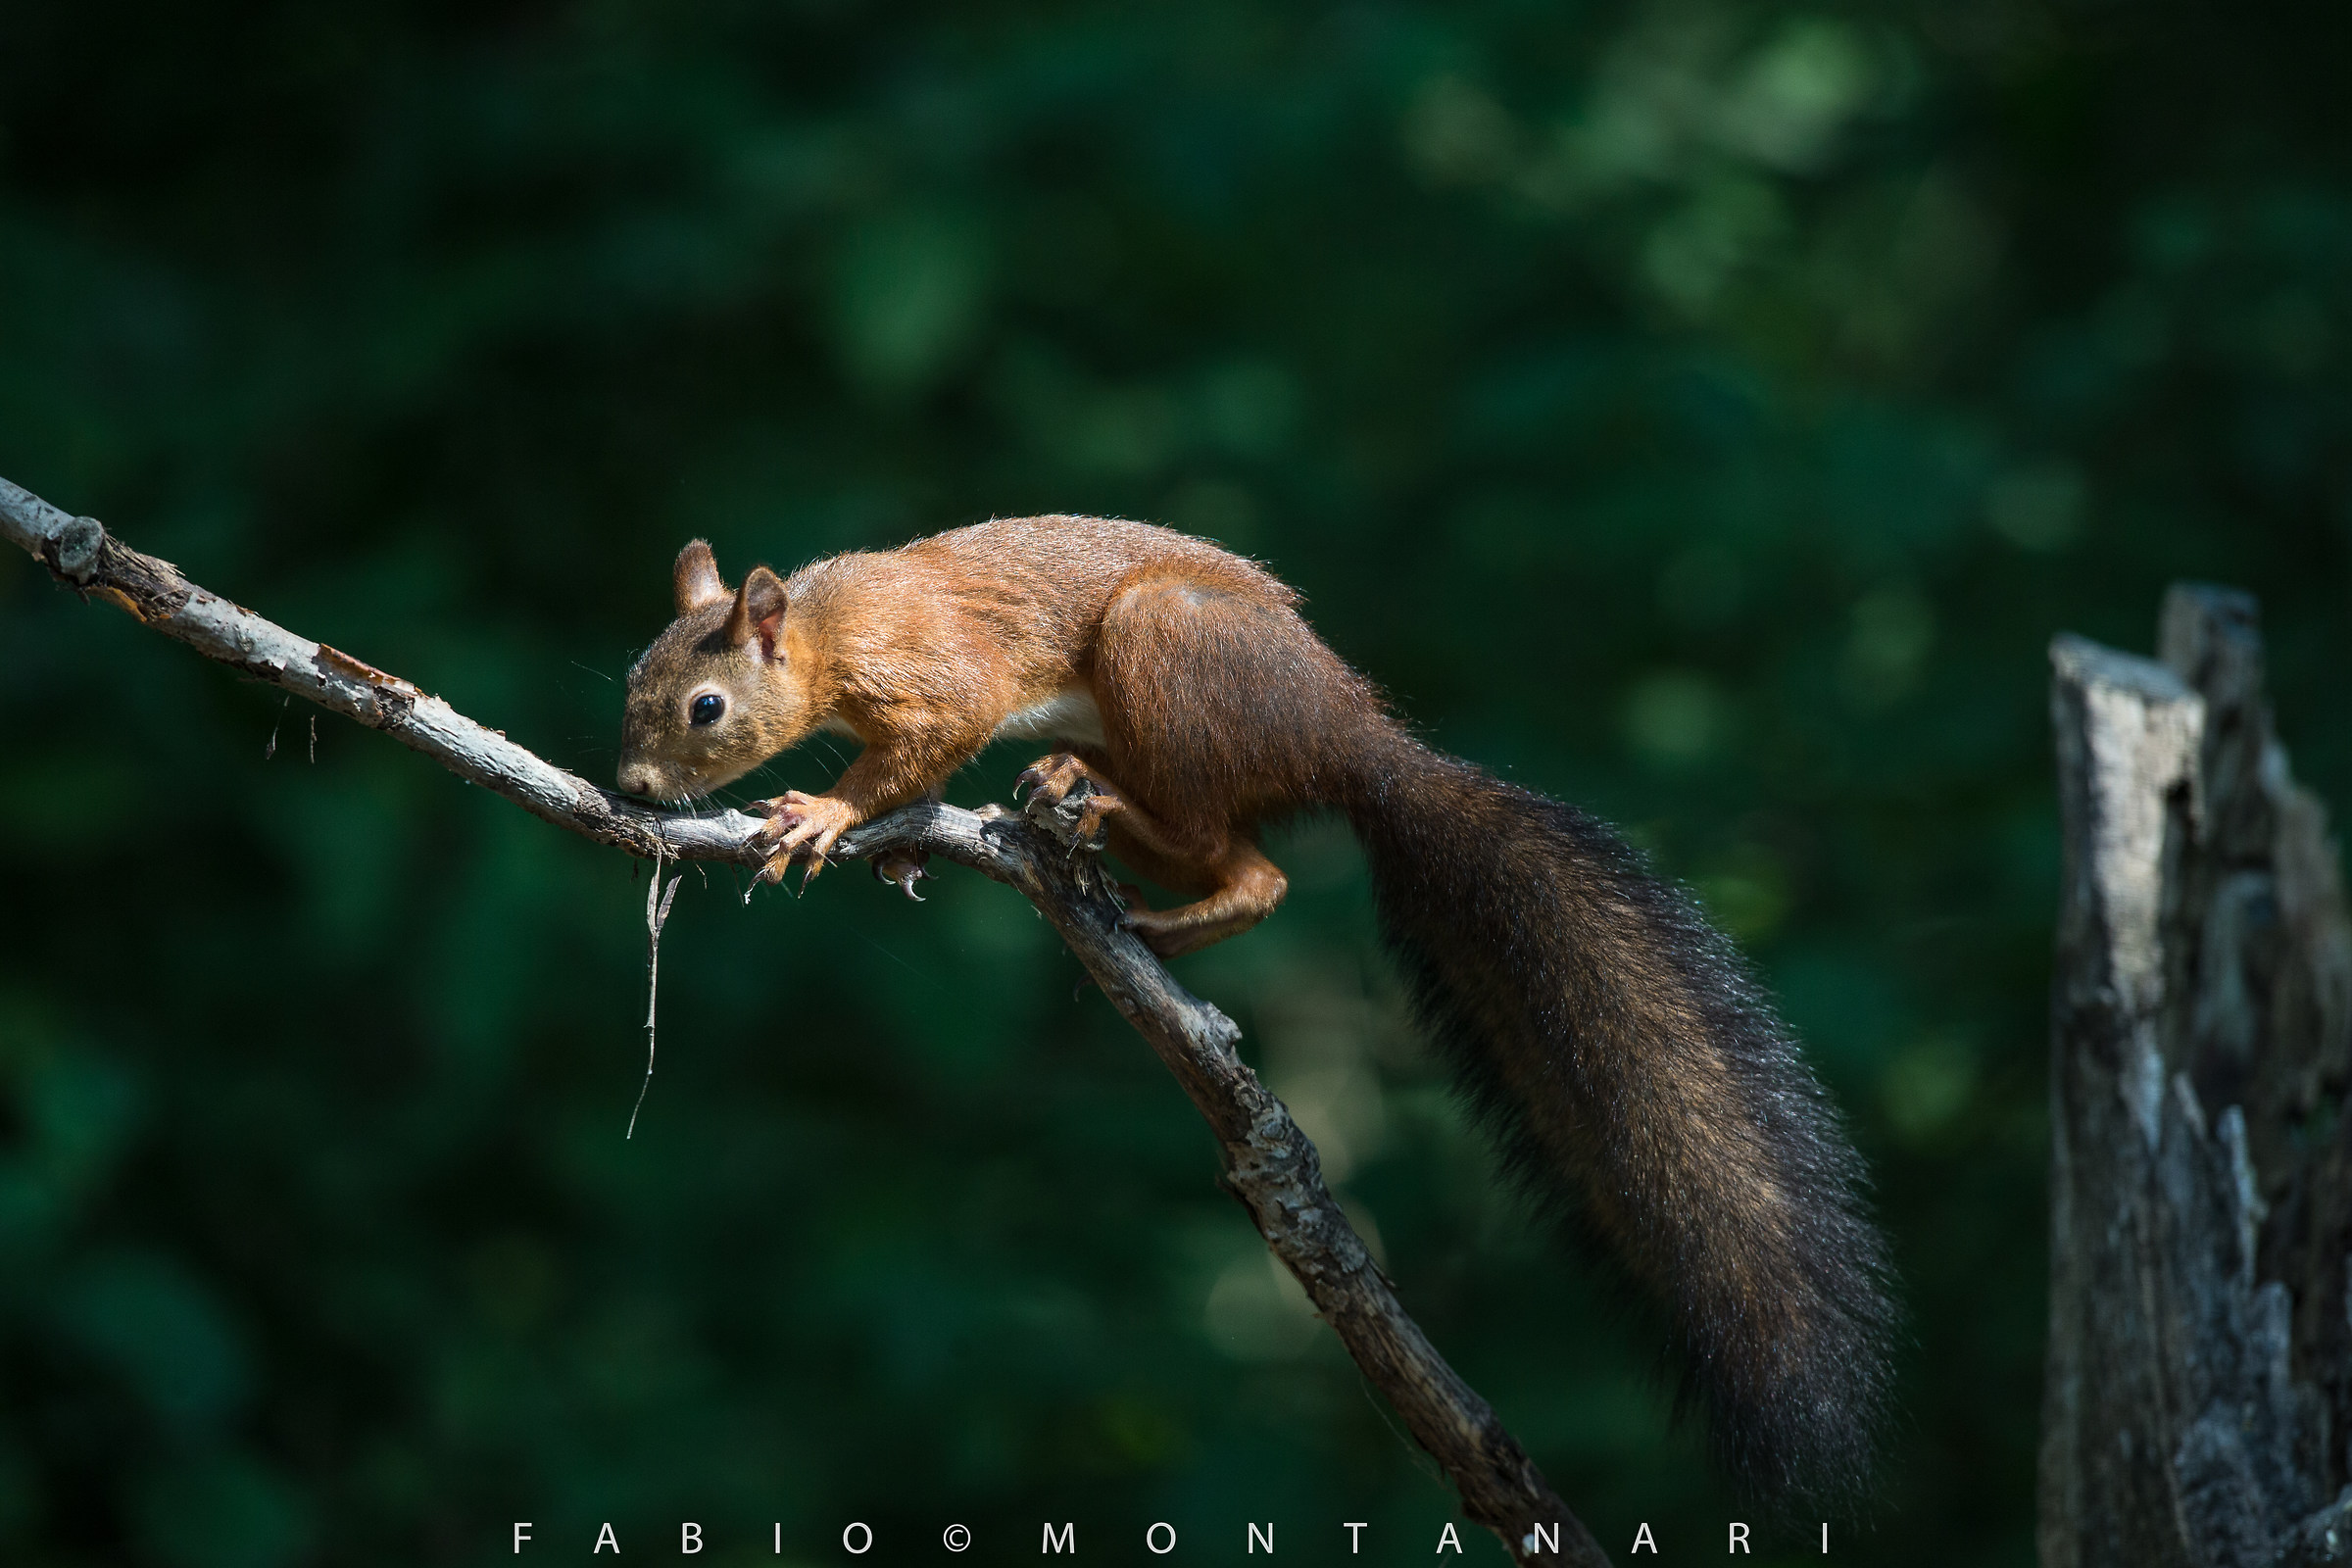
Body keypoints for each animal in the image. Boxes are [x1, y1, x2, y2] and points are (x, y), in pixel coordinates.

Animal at [617, 515, 1895, 1508]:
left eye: (706, 706)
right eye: (632, 688)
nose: (629, 787)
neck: (830, 630)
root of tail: (1352, 734)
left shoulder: (936, 674)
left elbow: (921, 747)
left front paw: (825, 817)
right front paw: (888, 847)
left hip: (1162, 656)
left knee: (1228, 848)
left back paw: (1105, 826)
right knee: (1247, 868)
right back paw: (1121, 870)